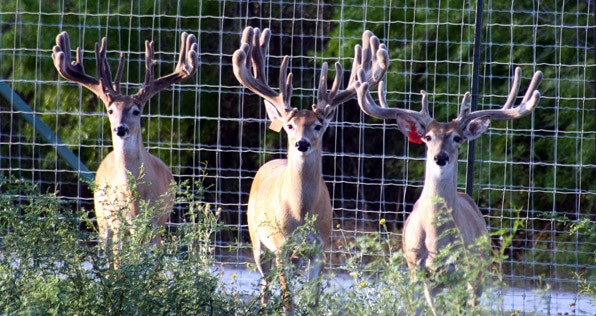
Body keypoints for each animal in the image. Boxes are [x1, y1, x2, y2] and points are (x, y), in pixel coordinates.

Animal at [51, 29, 200, 268]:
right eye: (111, 110)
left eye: (136, 111)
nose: (120, 128)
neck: (134, 196)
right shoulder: (118, 222)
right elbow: (120, 263)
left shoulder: (155, 223)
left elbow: (153, 267)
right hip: (102, 217)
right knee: (108, 256)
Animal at [356, 66, 544, 314]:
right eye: (428, 137)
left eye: (457, 138)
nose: (440, 157)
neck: (436, 238)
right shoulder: (415, 267)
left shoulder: (462, 269)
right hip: (437, 282)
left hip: (479, 266)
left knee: (473, 304)